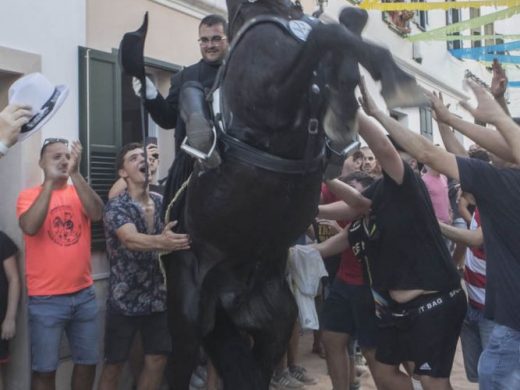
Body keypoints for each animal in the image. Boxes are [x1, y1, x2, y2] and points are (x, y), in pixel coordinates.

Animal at [160, 1, 424, 388]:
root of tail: (229, 298)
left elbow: (345, 28)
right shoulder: (272, 100)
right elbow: (325, 34)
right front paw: (390, 78)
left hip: (274, 325)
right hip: (189, 320)